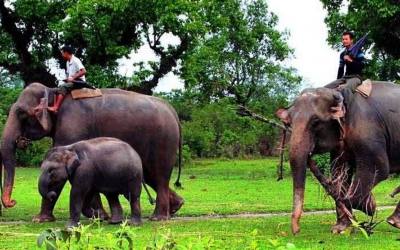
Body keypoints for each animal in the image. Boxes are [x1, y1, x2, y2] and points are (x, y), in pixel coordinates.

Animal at [0, 83, 184, 222]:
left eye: (21, 113)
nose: (12, 202)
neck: (53, 92)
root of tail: (174, 112)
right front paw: (100, 215)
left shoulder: (72, 126)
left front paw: (40, 220)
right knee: (150, 175)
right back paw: (176, 207)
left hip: (163, 140)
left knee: (159, 174)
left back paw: (159, 218)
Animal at [276, 81, 400, 234]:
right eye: (289, 123)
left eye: (315, 122)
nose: (296, 231)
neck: (339, 92)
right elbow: (340, 172)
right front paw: (339, 229)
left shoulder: (368, 129)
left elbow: (379, 168)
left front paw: (371, 206)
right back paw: (394, 221)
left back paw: (392, 221)